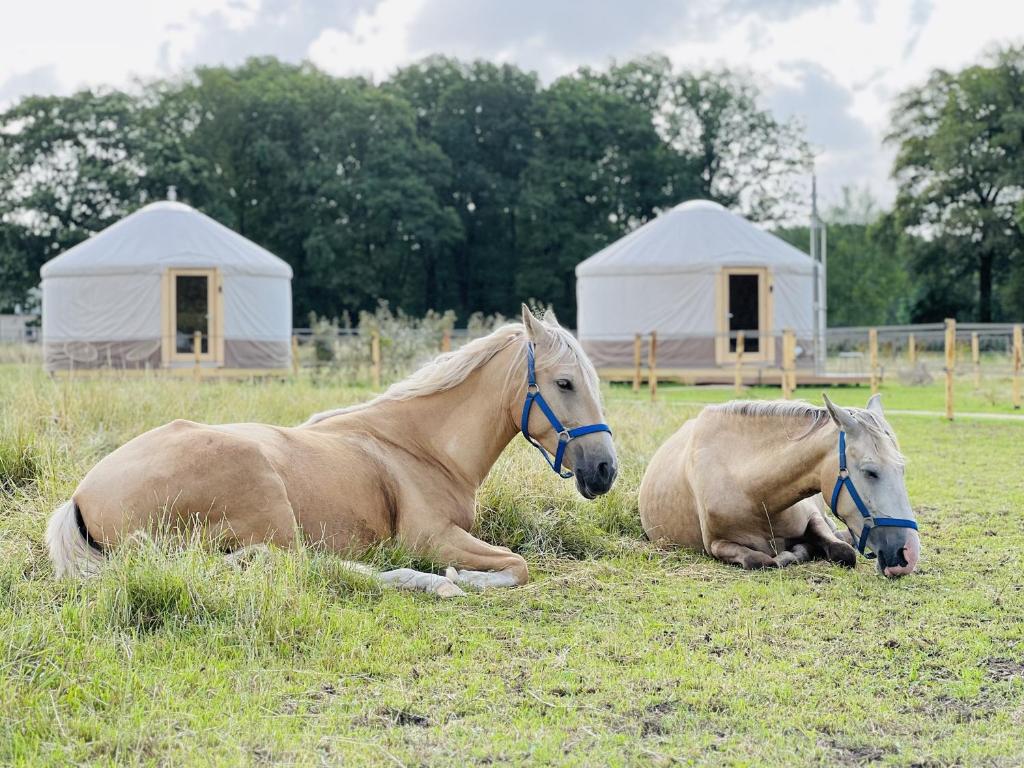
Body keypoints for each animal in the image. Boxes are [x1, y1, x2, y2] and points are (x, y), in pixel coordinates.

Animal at [48, 307, 614, 593]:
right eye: (564, 383)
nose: (606, 470)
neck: (419, 448)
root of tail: (81, 497)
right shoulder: (432, 537)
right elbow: (518, 566)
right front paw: (466, 578)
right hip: (268, 500)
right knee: (302, 566)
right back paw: (429, 582)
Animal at [638, 397, 921, 577]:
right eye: (870, 471)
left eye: (902, 469)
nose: (908, 555)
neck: (756, 495)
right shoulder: (717, 544)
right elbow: (760, 560)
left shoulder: (814, 517)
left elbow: (843, 551)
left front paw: (802, 550)